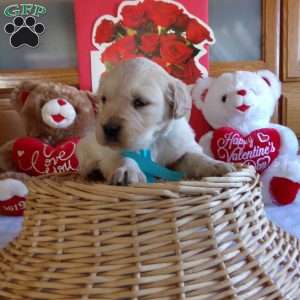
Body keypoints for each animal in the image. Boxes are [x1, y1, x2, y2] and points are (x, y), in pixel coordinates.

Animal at [77, 57, 234, 184]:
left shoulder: (180, 149)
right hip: (85, 148)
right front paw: (128, 170)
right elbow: (123, 156)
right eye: (104, 99)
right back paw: (92, 172)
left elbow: (194, 156)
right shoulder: (112, 153)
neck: (153, 140)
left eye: (140, 102)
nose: (109, 129)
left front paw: (215, 164)